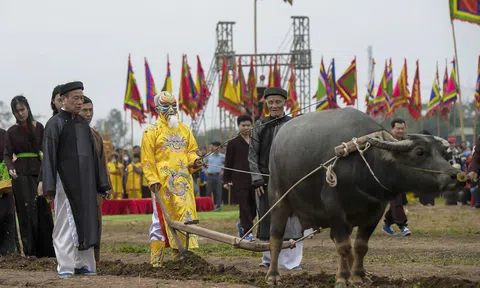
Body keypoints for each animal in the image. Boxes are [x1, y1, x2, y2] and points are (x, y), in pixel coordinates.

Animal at [266, 107, 464, 286]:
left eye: (444, 154)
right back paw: (273, 275)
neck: (365, 162)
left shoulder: (376, 210)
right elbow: (343, 246)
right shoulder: (334, 208)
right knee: (276, 236)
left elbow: (360, 246)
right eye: (420, 152)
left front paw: (359, 276)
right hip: (279, 200)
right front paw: (343, 278)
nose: (457, 176)